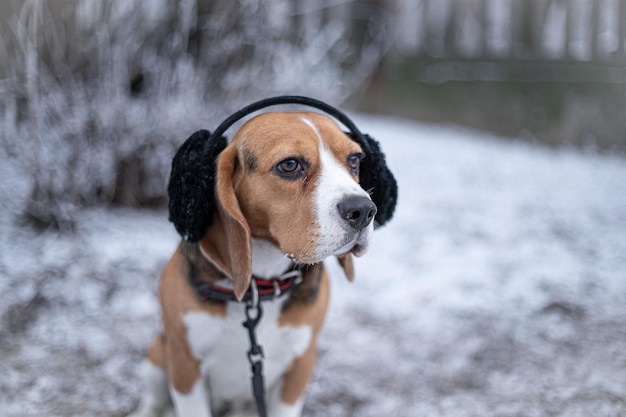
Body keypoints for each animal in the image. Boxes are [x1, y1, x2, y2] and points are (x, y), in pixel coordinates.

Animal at [128, 96, 394, 416]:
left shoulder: (300, 367)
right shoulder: (184, 365)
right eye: (290, 165)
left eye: (354, 160)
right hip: (158, 355)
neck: (259, 288)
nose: (365, 210)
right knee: (153, 400)